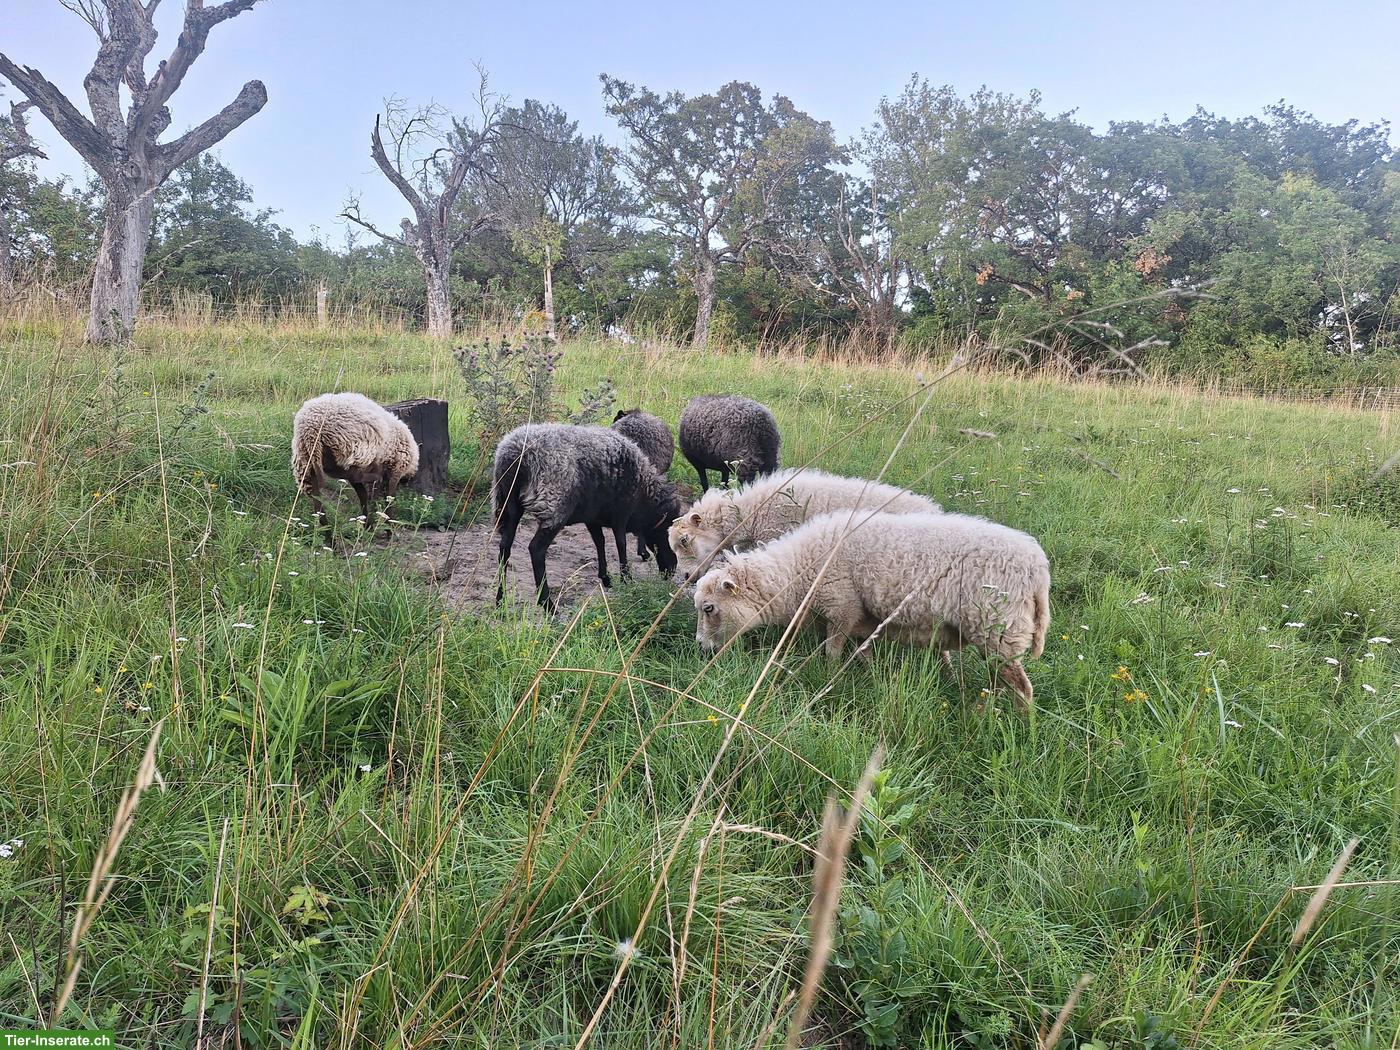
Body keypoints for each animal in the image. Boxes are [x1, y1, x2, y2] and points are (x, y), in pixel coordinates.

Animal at [292, 392, 419, 538]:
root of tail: (310, 429)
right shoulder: (395, 469)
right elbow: (389, 499)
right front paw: (389, 531)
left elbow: (362, 494)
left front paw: (368, 525)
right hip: (351, 449)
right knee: (355, 475)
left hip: (307, 463)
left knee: (318, 501)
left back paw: (330, 538)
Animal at [493, 423, 686, 609]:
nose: (671, 571)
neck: (644, 496)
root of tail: (516, 454)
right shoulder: (621, 512)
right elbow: (621, 544)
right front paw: (626, 579)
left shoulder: (592, 516)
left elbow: (599, 542)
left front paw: (606, 577)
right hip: (553, 506)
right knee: (536, 549)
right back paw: (548, 605)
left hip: (509, 506)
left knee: (505, 547)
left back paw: (500, 600)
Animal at [692, 510, 1050, 709]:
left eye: (709, 608)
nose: (700, 647)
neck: (798, 571)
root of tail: (1038, 570)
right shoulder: (863, 621)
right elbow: (863, 651)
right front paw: (872, 674)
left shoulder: (841, 606)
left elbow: (832, 650)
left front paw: (830, 676)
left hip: (999, 630)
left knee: (1022, 688)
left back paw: (1018, 723)